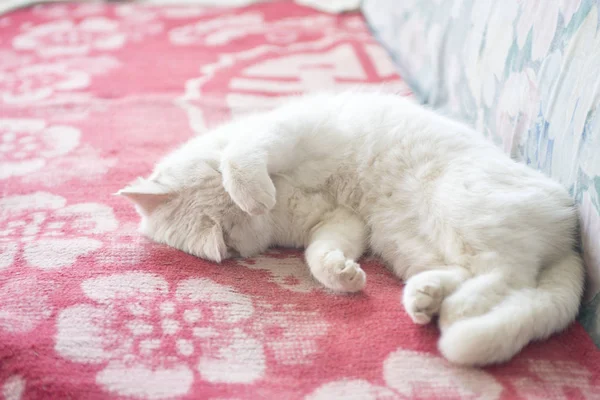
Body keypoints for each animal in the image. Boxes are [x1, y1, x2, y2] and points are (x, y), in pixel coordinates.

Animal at [119, 90, 584, 366]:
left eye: (232, 216)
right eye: (233, 231)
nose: (259, 208)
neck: (285, 188)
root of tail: (571, 240)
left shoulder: (287, 131)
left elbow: (241, 154)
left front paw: (252, 190)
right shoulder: (343, 222)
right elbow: (319, 256)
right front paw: (344, 276)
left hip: (458, 205)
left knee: (509, 275)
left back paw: (457, 309)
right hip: (406, 242)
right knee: (489, 275)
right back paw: (428, 299)